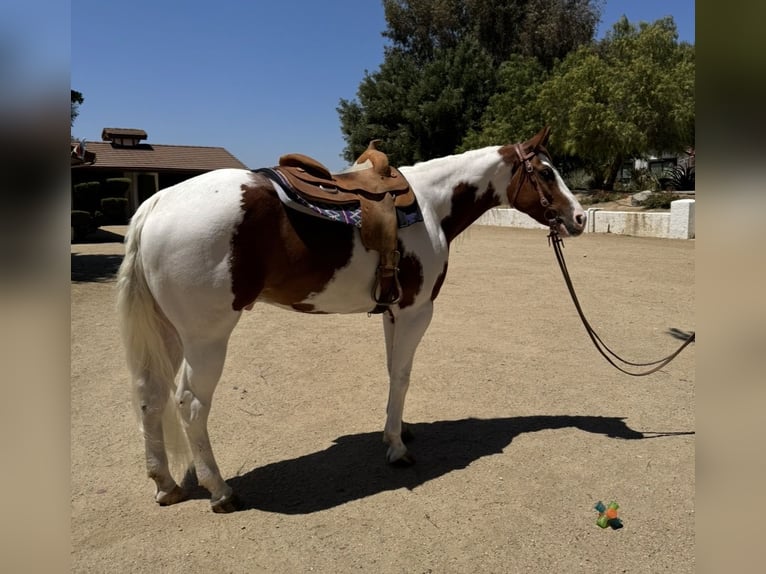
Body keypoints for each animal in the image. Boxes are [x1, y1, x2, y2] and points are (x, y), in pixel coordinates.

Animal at [116, 126, 587, 512]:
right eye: (546, 173)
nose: (579, 218)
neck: (430, 204)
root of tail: (156, 203)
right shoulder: (417, 311)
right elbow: (403, 375)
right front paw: (396, 448)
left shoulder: (393, 312)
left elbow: (393, 371)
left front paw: (398, 429)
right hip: (206, 337)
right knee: (190, 404)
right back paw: (220, 490)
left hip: (170, 332)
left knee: (149, 395)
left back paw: (165, 483)